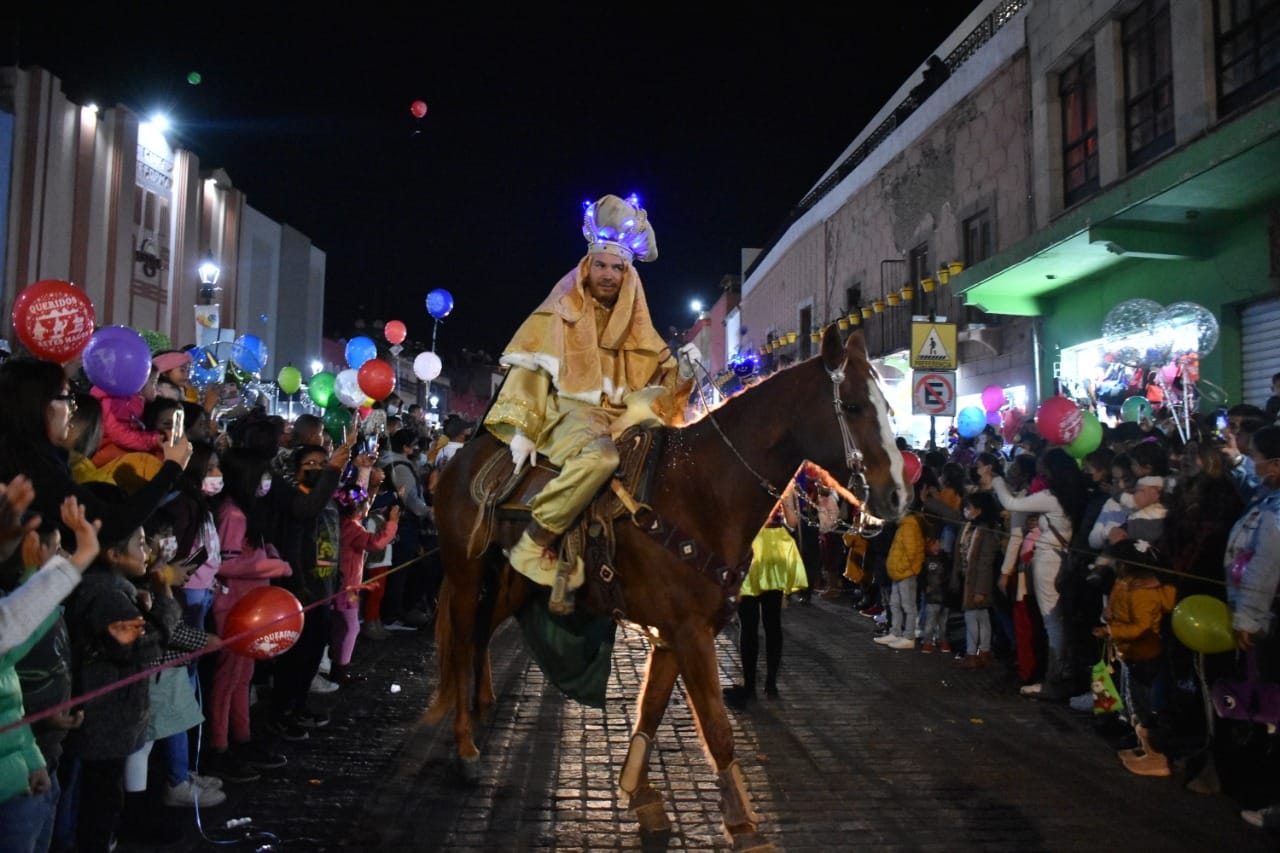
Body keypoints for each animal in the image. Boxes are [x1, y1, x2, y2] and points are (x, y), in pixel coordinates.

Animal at [424, 322, 906, 845]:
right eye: (853, 406)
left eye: (887, 405)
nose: (898, 495)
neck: (704, 490)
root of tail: (462, 461)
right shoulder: (689, 632)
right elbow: (717, 726)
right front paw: (742, 824)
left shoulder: (677, 634)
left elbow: (652, 711)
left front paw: (640, 794)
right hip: (466, 576)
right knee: (462, 644)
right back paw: (466, 748)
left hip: (514, 584)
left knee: (479, 636)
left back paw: (483, 707)